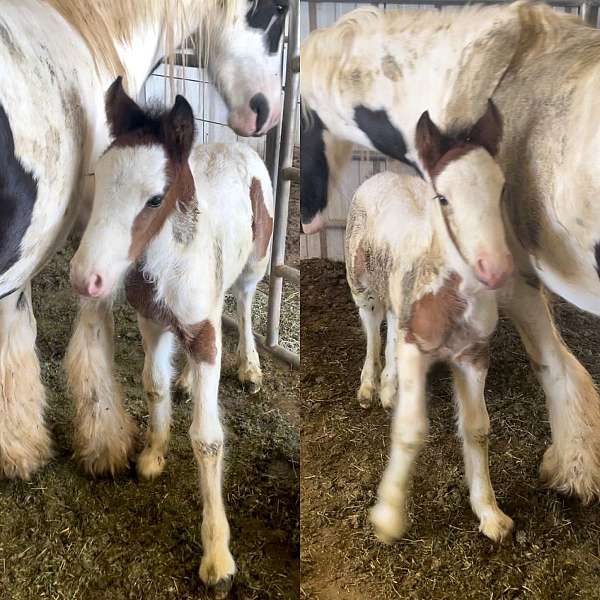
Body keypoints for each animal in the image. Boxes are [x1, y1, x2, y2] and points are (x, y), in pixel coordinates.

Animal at [69, 78, 274, 596]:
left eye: (155, 199)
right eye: (99, 178)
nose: (85, 278)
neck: (165, 264)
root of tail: (234, 144)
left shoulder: (204, 335)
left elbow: (207, 438)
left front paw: (218, 558)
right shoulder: (152, 322)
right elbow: (153, 385)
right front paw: (153, 455)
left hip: (254, 264)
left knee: (243, 304)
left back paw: (249, 367)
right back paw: (187, 383)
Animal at [346, 102, 516, 544]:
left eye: (502, 189)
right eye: (443, 197)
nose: (495, 269)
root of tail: (380, 175)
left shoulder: (474, 356)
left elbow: (477, 428)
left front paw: (490, 513)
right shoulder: (413, 349)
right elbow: (411, 429)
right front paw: (388, 515)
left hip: (396, 293)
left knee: (390, 320)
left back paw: (388, 389)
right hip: (362, 287)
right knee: (373, 329)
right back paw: (369, 387)